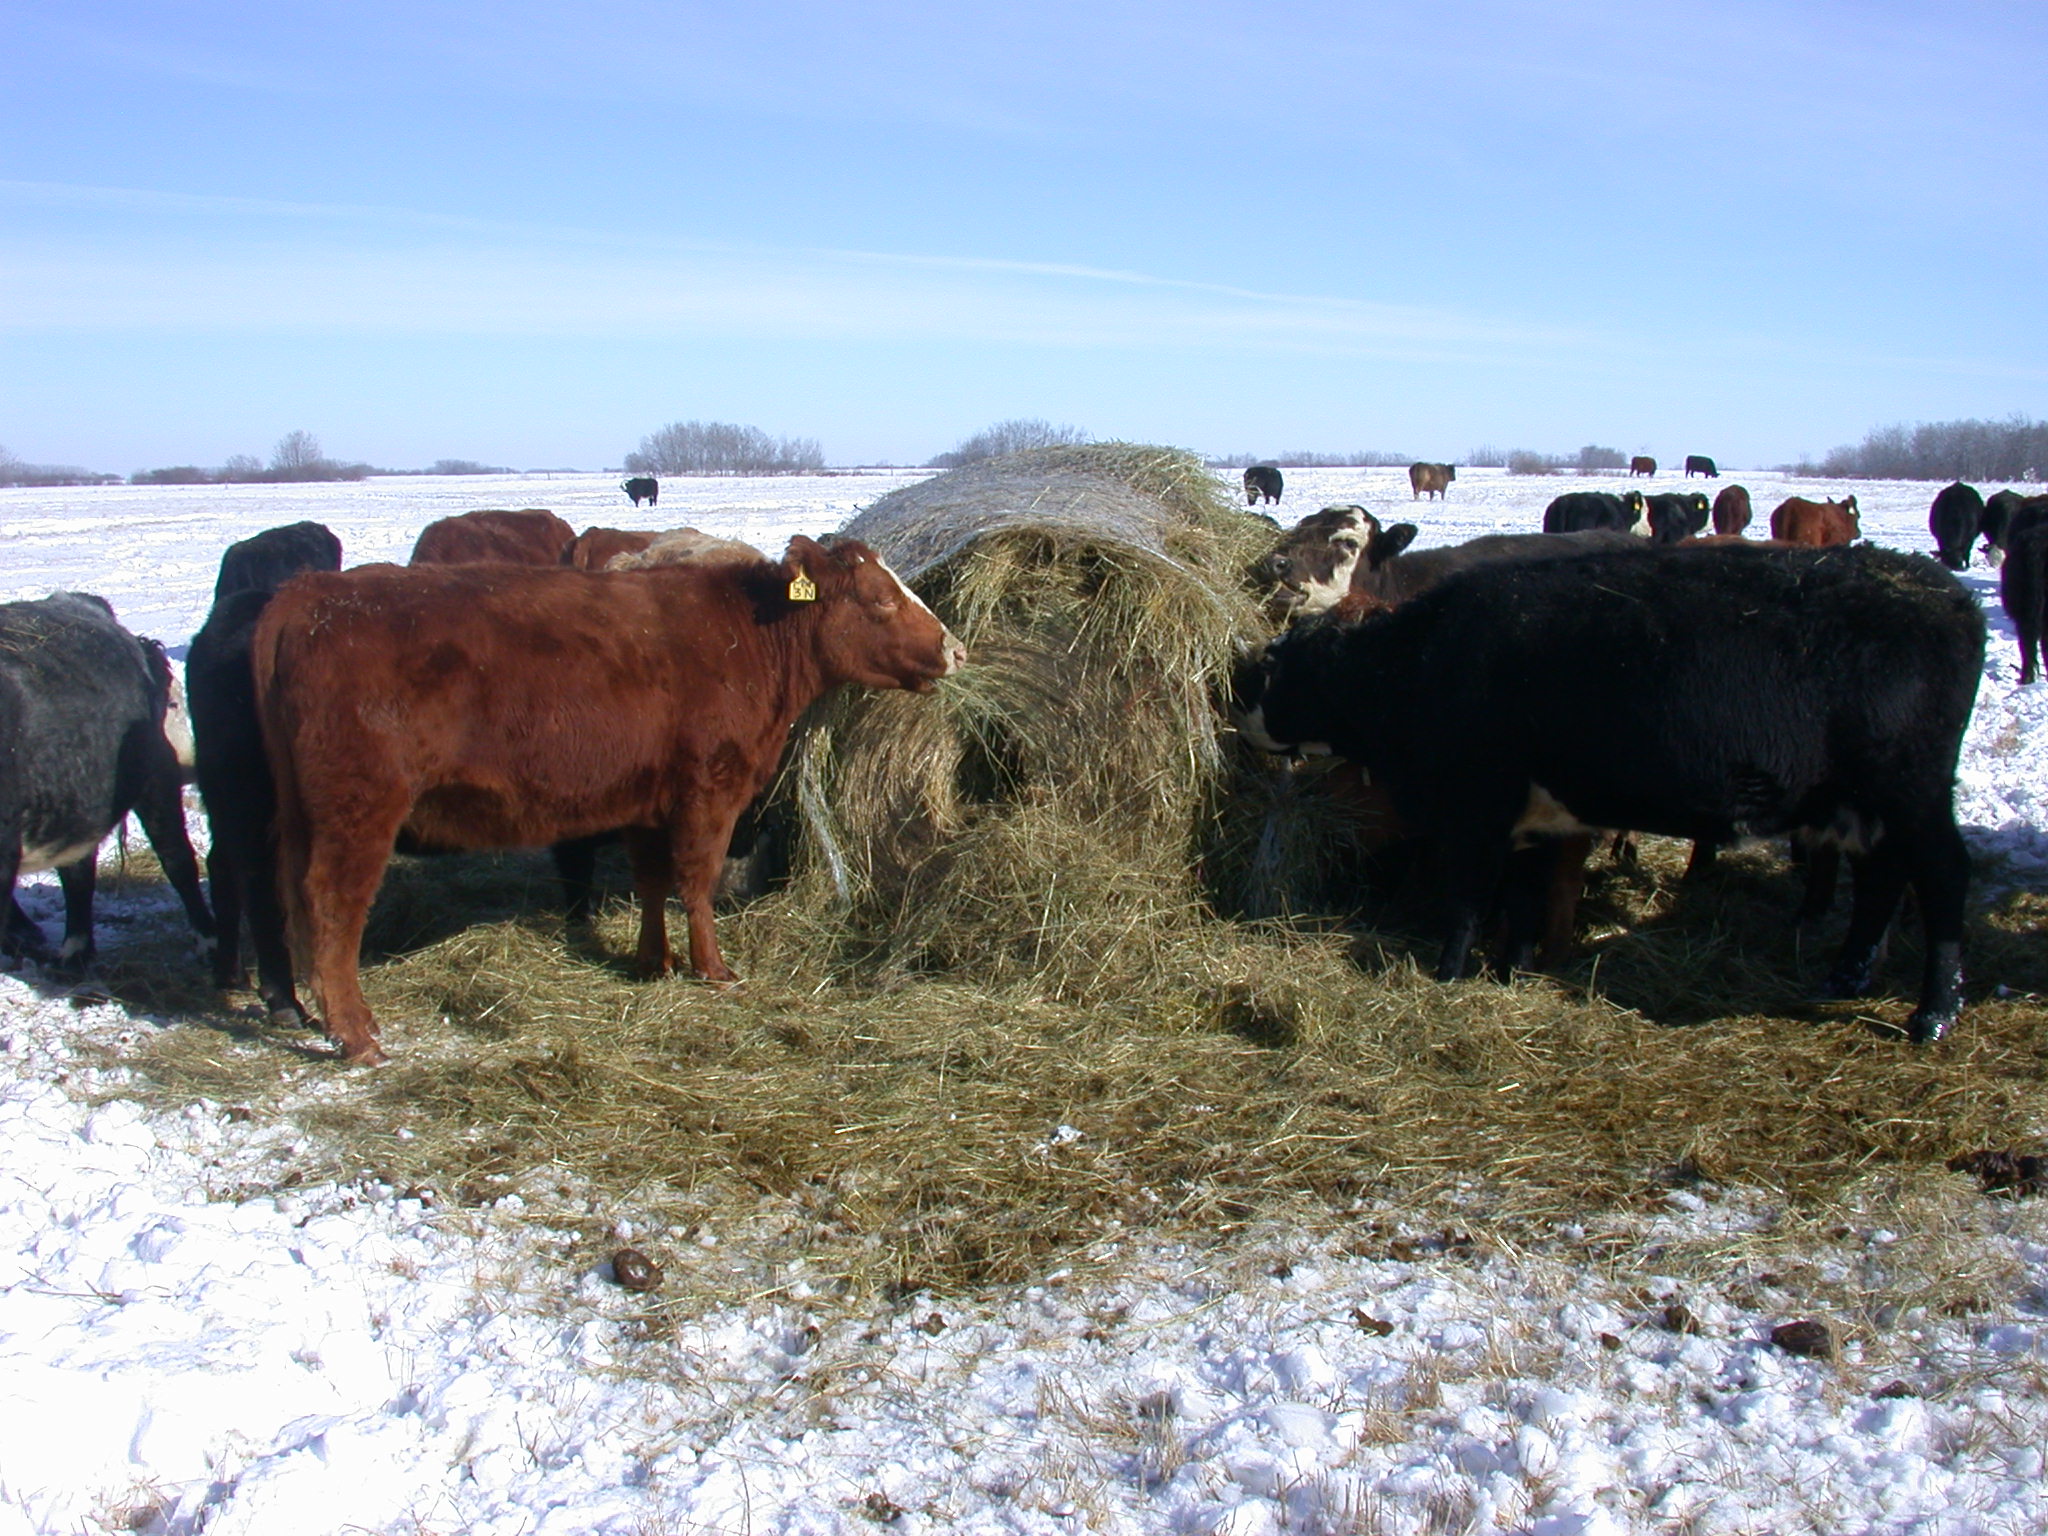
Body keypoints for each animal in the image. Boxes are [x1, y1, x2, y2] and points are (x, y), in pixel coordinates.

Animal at [0, 593, 214, 974]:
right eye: (175, 704)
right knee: (79, 871)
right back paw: (74, 955)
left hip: (154, 778)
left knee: (177, 858)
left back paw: (208, 943)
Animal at [253, 544, 966, 1073]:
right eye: (880, 599)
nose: (956, 648)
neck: (746, 637)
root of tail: (310, 592)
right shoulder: (710, 789)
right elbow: (696, 881)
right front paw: (714, 971)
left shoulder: (648, 800)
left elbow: (652, 880)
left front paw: (655, 962)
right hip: (358, 810)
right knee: (333, 910)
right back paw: (356, 1035)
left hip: (302, 816)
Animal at [1228, 544, 1982, 1048]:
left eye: (1285, 667)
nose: (1238, 692)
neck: (1423, 660)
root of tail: (1941, 589)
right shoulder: (1538, 819)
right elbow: (1523, 900)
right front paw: (1511, 971)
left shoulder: (1477, 810)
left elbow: (1469, 901)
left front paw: (1448, 973)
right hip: (1865, 805)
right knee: (1882, 880)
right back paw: (1846, 976)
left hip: (1911, 794)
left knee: (1943, 879)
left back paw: (1932, 1013)